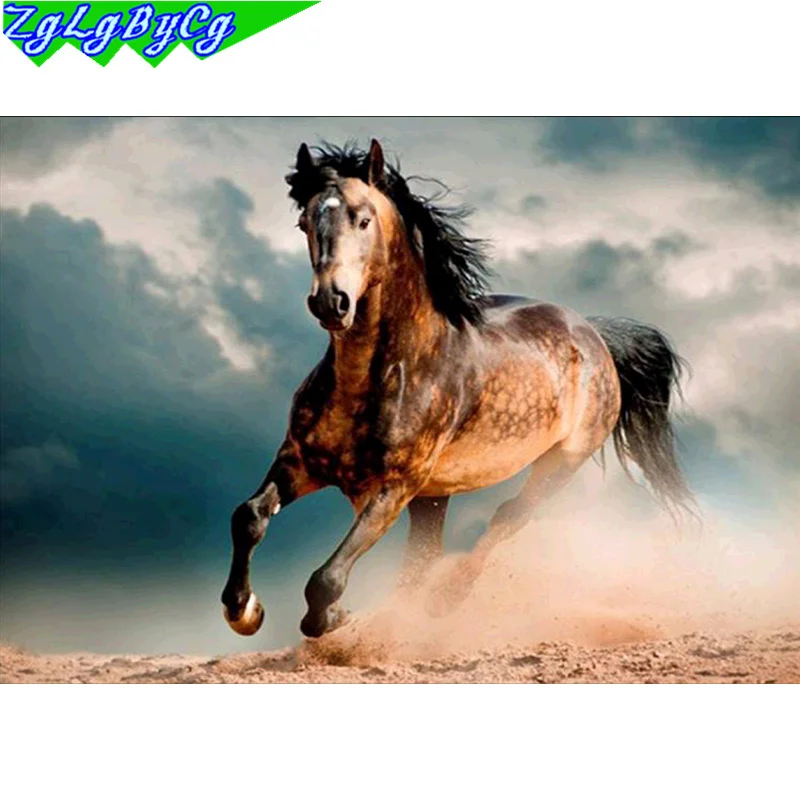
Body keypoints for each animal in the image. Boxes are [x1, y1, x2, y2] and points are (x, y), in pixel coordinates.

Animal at [221, 139, 696, 639]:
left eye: (363, 219)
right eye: (305, 222)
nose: (331, 302)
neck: (374, 378)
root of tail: (595, 334)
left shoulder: (393, 488)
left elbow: (326, 578)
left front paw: (331, 618)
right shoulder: (300, 462)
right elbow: (248, 517)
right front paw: (244, 611)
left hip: (560, 462)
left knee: (508, 516)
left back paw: (445, 599)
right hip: (435, 495)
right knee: (426, 555)